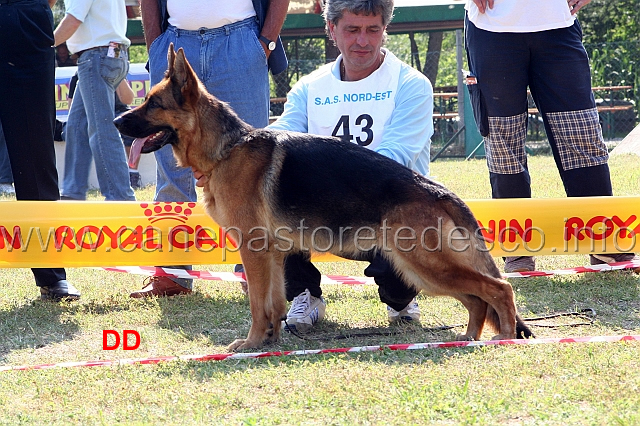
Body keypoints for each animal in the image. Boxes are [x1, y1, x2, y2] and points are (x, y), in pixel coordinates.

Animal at [114, 45, 528, 352]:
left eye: (153, 104)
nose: (117, 121)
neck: (226, 148)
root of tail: (442, 192)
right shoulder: (273, 254)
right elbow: (274, 302)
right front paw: (271, 339)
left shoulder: (253, 250)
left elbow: (257, 304)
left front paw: (251, 343)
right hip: (423, 269)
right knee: (477, 298)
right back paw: (469, 339)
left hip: (424, 264)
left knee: (499, 288)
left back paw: (505, 338)